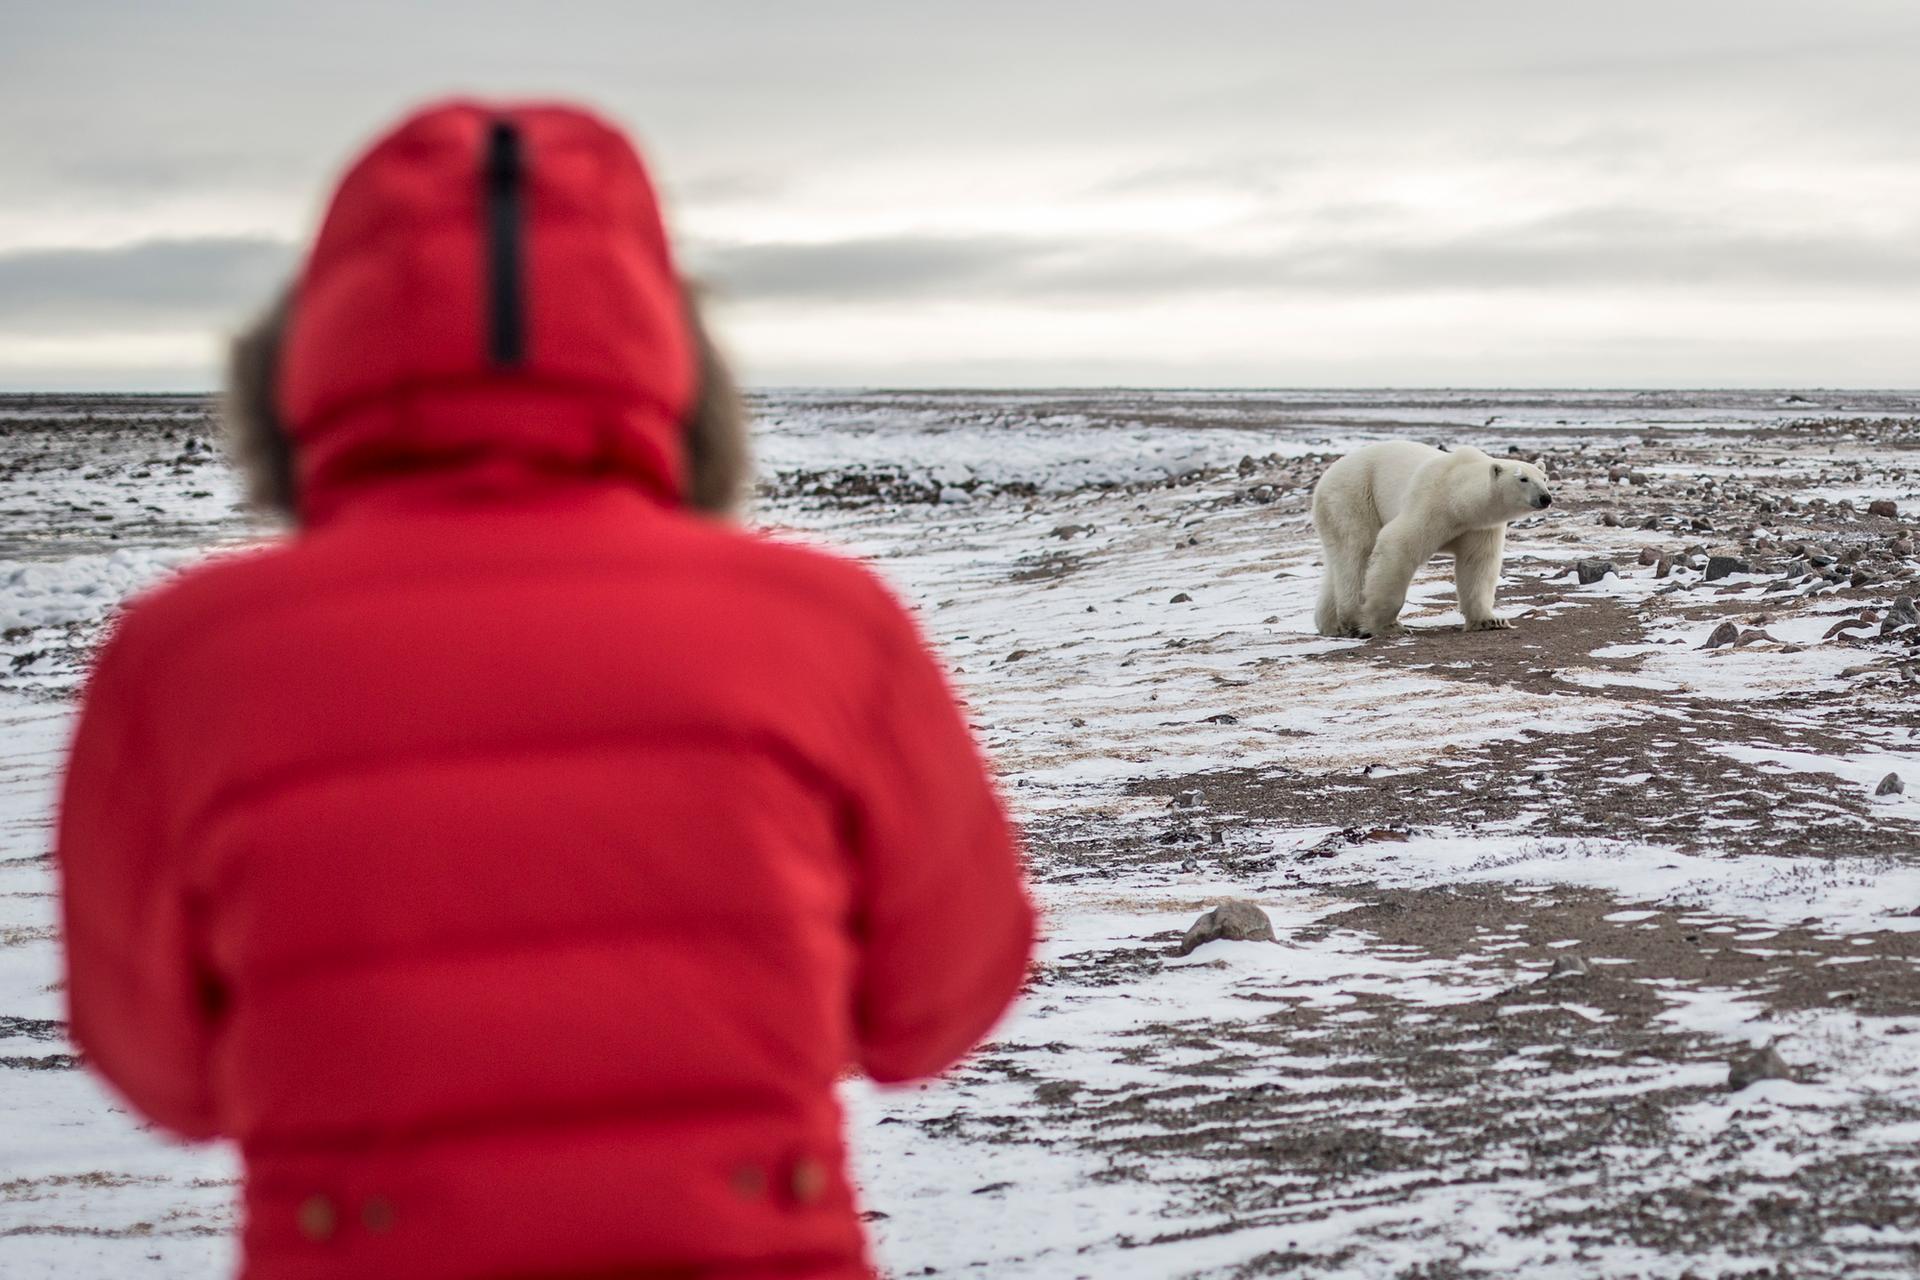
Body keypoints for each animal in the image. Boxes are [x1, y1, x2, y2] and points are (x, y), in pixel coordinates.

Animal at [1313, 443, 1551, 637]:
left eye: (1544, 478)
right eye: (1523, 478)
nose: (1545, 498)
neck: (1457, 497)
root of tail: (1324, 480)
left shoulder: (1479, 526)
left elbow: (1478, 564)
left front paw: (1490, 621)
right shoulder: (1431, 503)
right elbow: (1397, 546)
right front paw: (1388, 625)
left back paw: (1331, 625)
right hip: (1353, 497)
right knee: (1356, 552)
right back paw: (1354, 620)